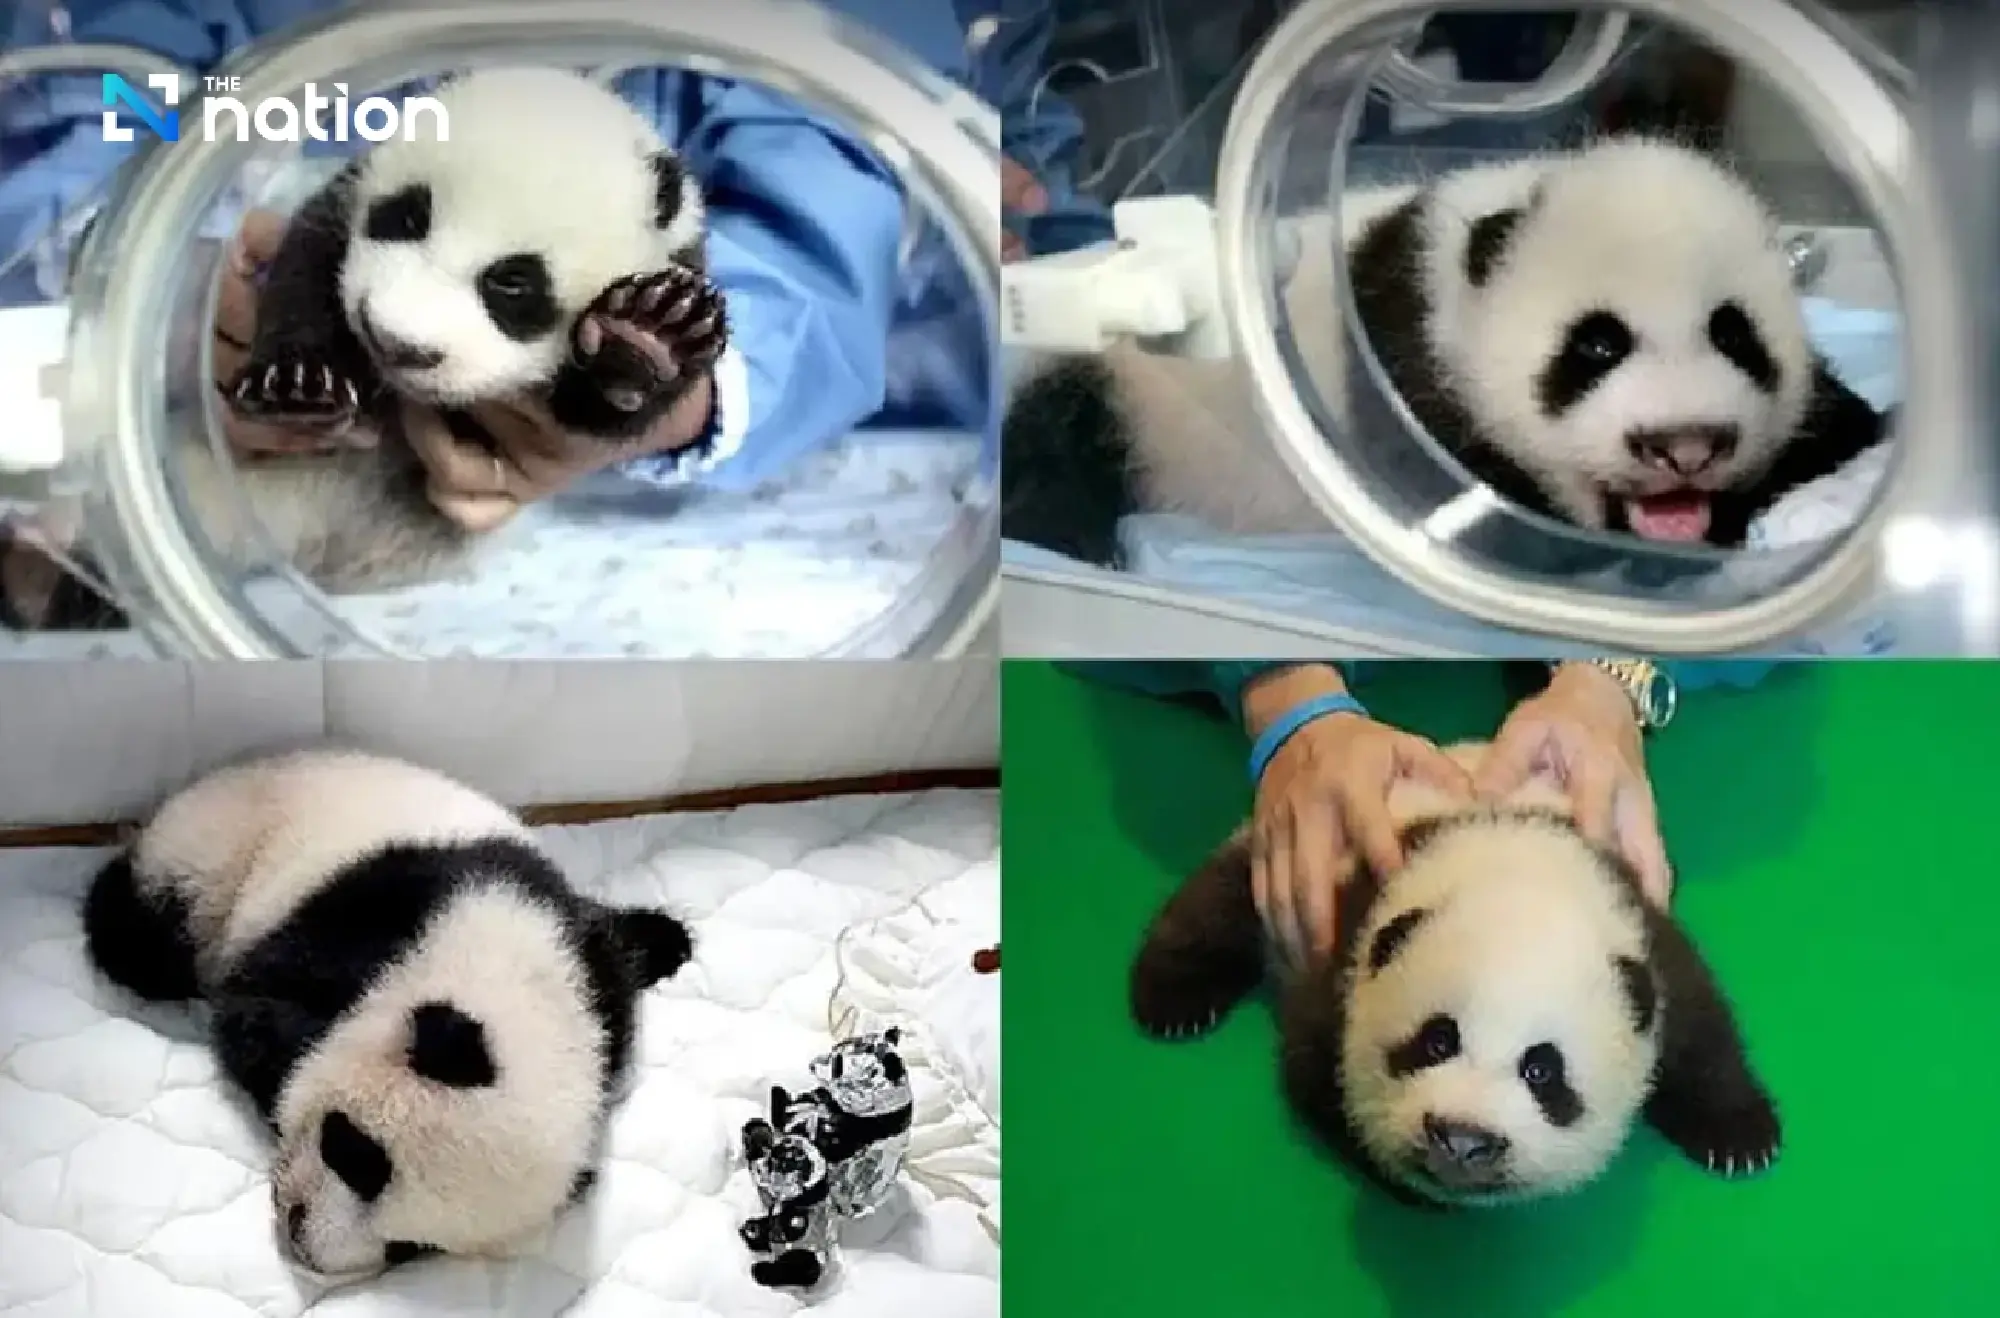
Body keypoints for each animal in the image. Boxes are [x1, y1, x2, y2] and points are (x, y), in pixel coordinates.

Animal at [79, 748, 694, 1277]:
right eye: (357, 1154)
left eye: (411, 1247)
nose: (303, 1238)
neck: (516, 975)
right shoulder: (368, 923)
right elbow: (255, 1015)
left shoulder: (589, 971)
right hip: (205, 862)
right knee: (142, 932)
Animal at [1003, 137, 1886, 568]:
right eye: (1597, 344)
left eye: (1735, 333)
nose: (1686, 445)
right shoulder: (1403, 374)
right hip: (1118, 395)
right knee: (1053, 451)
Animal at [1128, 740, 1781, 1207]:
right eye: (1437, 1039)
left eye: (1542, 1070)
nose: (1463, 1139)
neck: (1517, 864)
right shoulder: (1352, 926)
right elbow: (1316, 1076)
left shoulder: (1636, 920)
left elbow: (1699, 1028)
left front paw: (1741, 1137)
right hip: (1290, 868)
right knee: (1220, 904)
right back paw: (1171, 1001)